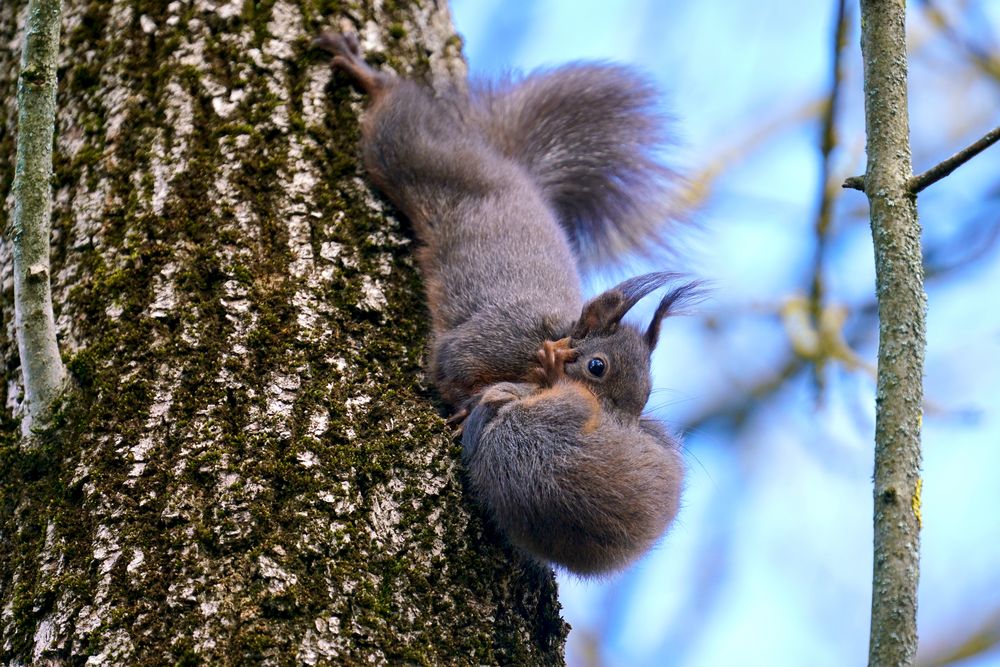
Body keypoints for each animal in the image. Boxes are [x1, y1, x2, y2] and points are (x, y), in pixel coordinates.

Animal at [314, 30, 696, 576]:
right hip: (426, 160)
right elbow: (452, 367)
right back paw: (367, 72)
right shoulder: (498, 340)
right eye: (597, 367)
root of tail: (515, 172)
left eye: (644, 397)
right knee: (404, 127)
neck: (549, 340)